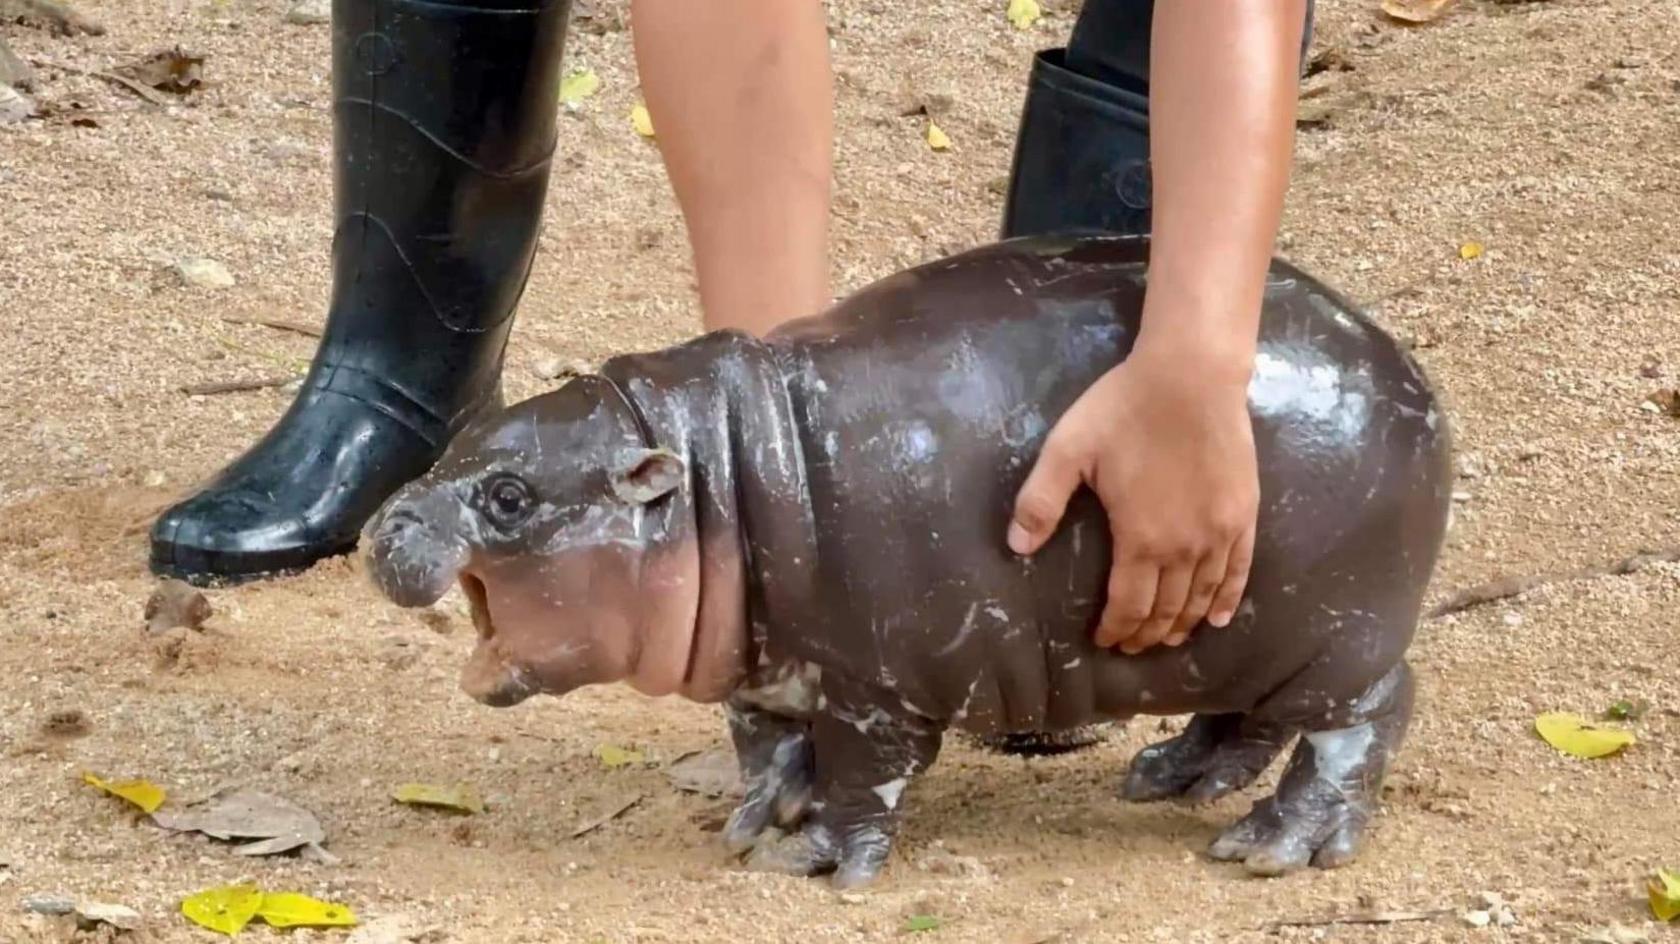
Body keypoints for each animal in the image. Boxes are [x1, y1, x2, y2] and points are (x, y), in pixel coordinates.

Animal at [361, 231, 1451, 886]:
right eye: (461, 440)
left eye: (509, 496)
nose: (383, 524)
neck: (712, 477)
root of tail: (1409, 370)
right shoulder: (770, 668)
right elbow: (767, 741)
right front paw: (757, 818)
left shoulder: (876, 686)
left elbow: (862, 775)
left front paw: (812, 858)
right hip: (1236, 632)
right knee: (1250, 717)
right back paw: (1169, 777)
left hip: (1337, 637)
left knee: (1365, 719)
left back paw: (1271, 847)